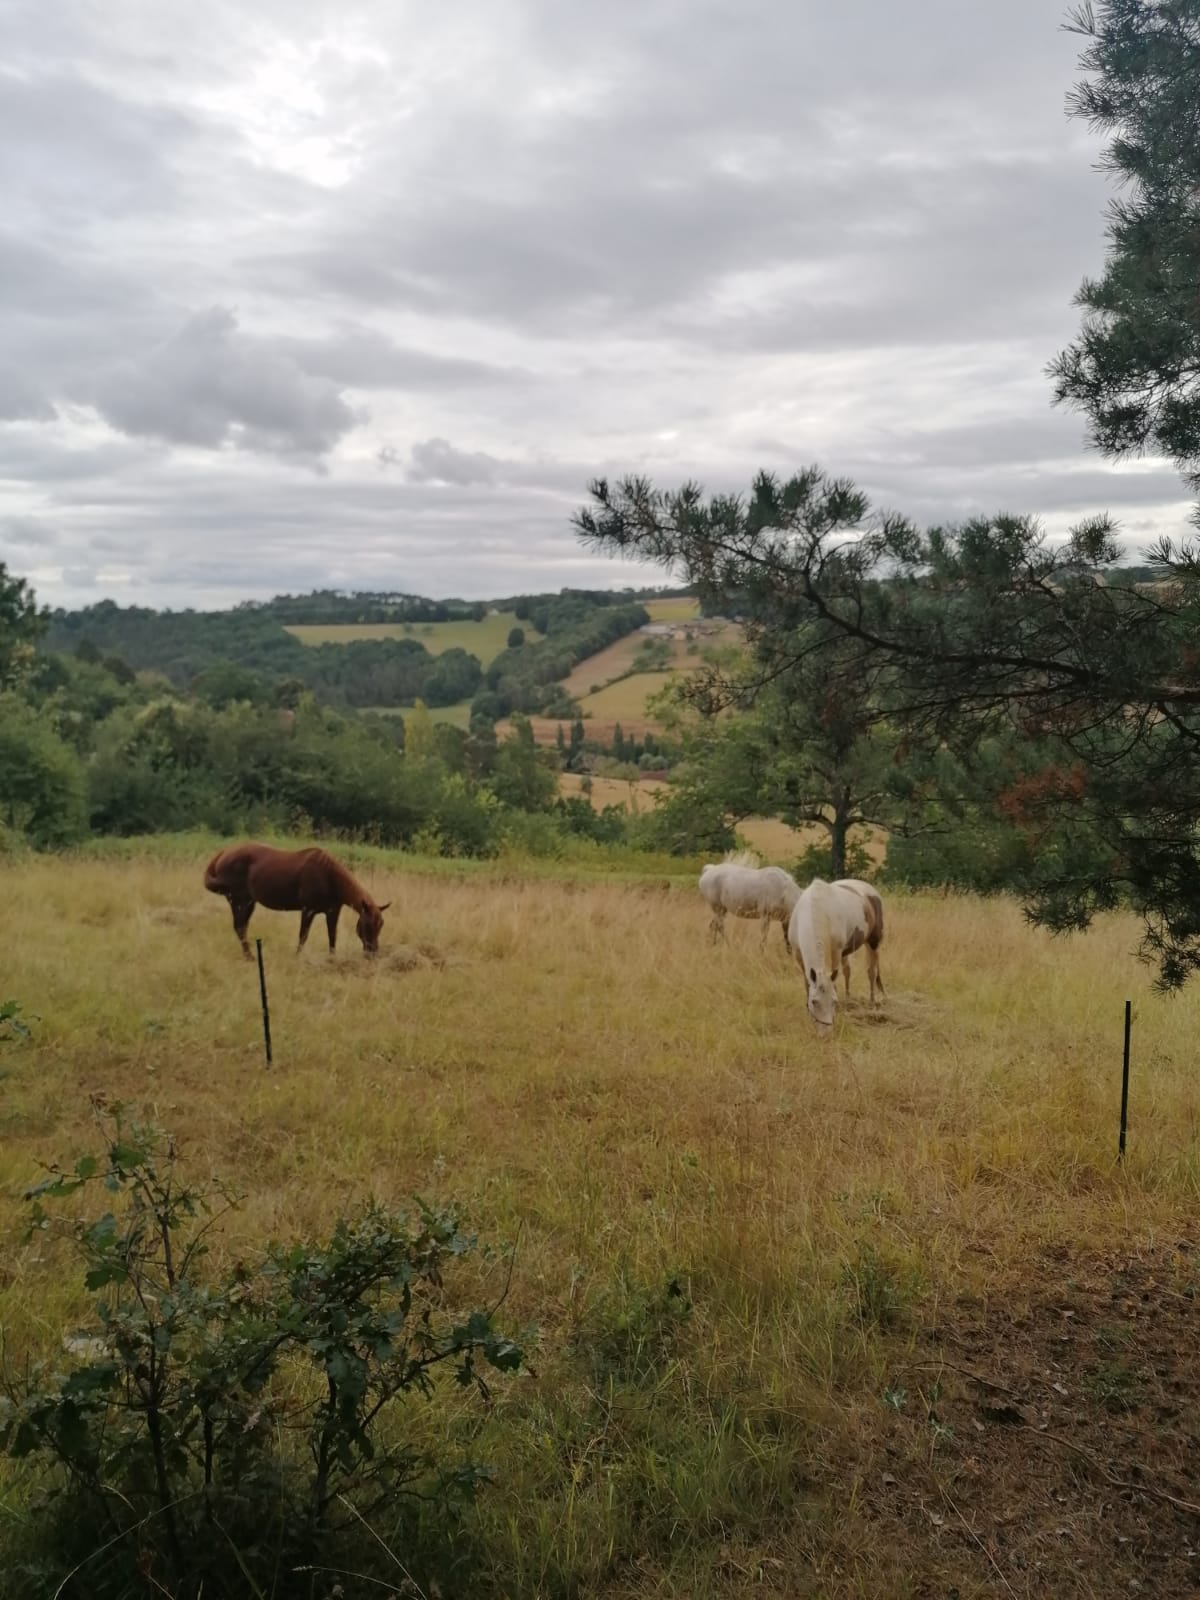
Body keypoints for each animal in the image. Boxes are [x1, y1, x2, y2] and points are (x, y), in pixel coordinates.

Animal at [203, 842, 390, 959]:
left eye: (381, 925)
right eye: (367, 925)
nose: (372, 953)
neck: (329, 877)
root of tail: (224, 853)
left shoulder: (332, 912)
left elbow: (332, 936)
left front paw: (332, 959)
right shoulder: (308, 910)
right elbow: (303, 935)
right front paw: (298, 957)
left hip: (249, 902)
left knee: (242, 926)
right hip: (237, 900)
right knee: (240, 927)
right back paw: (249, 957)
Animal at [788, 876, 885, 1030]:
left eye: (833, 1001)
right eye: (814, 1001)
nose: (826, 1030)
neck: (816, 909)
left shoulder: (836, 952)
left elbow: (834, 982)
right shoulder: (799, 955)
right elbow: (807, 983)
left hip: (873, 943)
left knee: (872, 972)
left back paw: (872, 1002)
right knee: (848, 971)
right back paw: (848, 998)